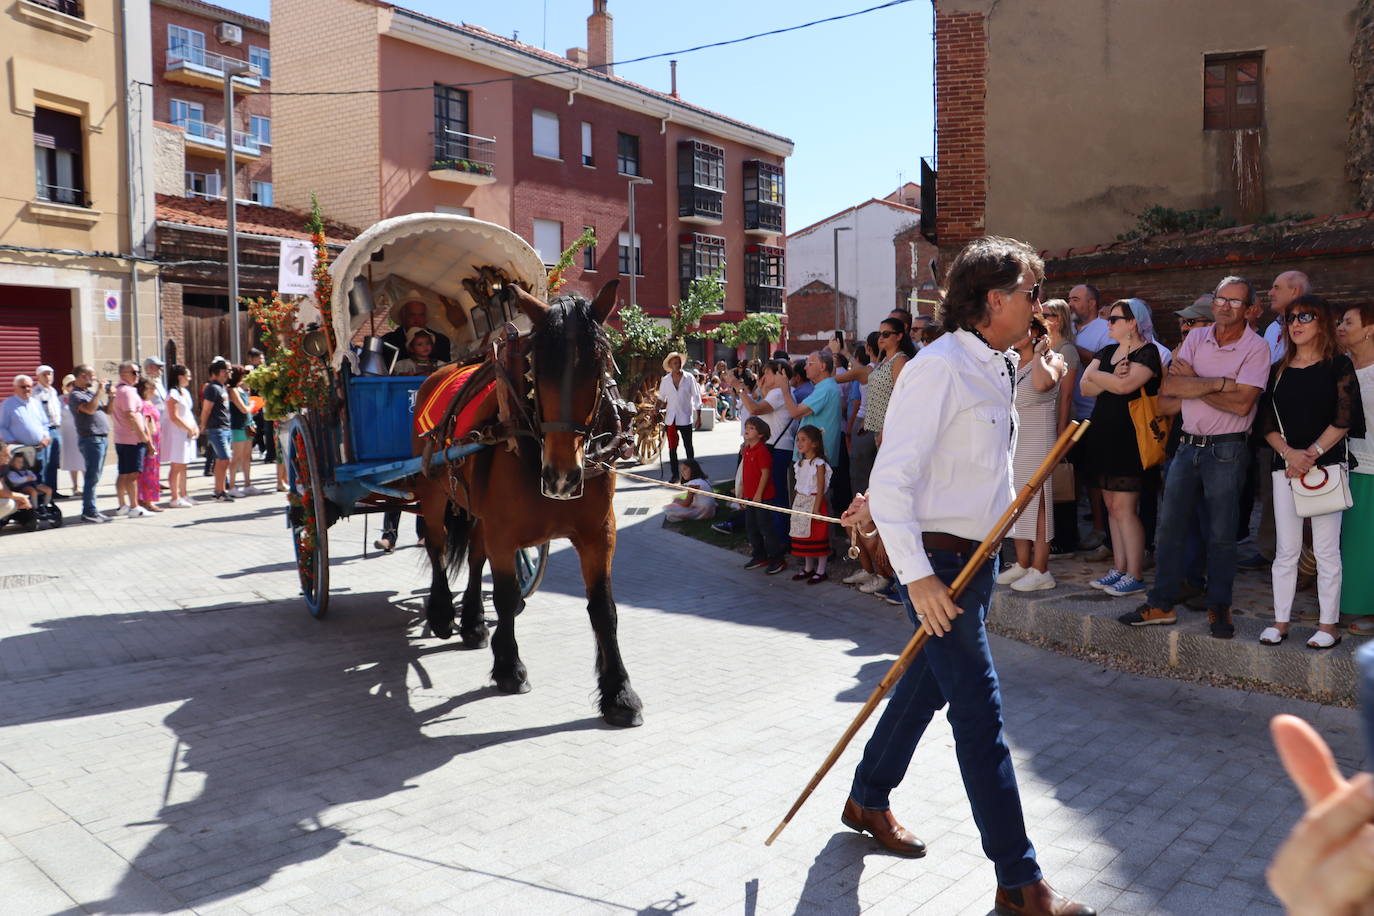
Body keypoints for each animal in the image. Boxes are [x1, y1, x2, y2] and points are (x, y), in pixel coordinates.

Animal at [412, 282, 643, 725]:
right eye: (537, 369)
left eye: (599, 367)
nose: (561, 475)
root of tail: (442, 371)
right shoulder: (505, 535)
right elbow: (505, 596)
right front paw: (509, 668)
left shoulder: (599, 535)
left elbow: (603, 609)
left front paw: (619, 692)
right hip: (432, 492)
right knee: (436, 546)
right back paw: (443, 613)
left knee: (475, 556)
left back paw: (472, 623)